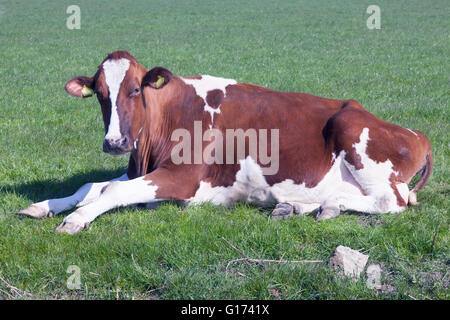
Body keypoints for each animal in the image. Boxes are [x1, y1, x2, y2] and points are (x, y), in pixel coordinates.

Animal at [17, 50, 432, 235]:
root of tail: (419, 135)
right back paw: (297, 207)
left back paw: (328, 206)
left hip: (356, 136)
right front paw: (43, 206)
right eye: (101, 94)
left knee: (390, 202)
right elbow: (92, 185)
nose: (116, 142)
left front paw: (76, 219)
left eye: (135, 90)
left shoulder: (183, 178)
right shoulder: (140, 170)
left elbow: (110, 193)